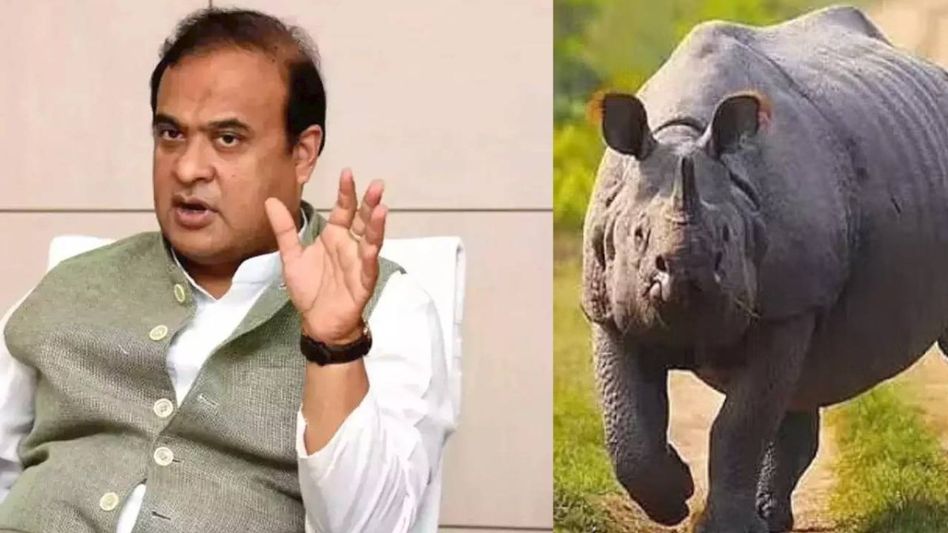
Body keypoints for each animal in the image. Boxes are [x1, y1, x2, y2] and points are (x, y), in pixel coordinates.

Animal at [581, 6, 948, 532]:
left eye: (726, 238)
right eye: (637, 236)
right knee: (803, 381)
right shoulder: (608, 303)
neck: (681, 133)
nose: (687, 281)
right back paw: (771, 517)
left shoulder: (788, 305)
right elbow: (628, 427)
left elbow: (741, 425)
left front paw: (721, 524)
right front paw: (676, 495)